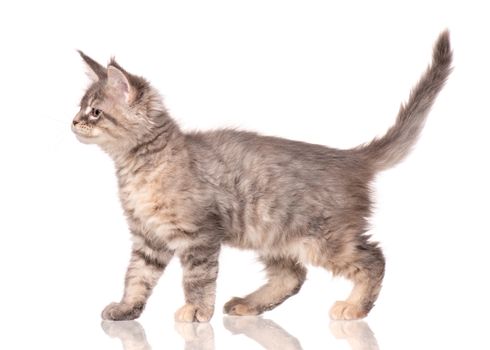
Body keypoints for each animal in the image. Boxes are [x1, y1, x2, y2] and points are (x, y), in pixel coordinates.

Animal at [72, 31, 452, 322]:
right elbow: (136, 277)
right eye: (80, 108)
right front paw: (126, 309)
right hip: (272, 233)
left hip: (325, 239)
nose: (73, 122)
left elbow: (197, 279)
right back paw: (248, 304)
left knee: (374, 259)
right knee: (293, 276)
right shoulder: (148, 238)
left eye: (95, 112)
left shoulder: (199, 235)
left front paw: (196, 312)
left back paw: (355, 307)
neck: (139, 166)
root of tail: (349, 156)